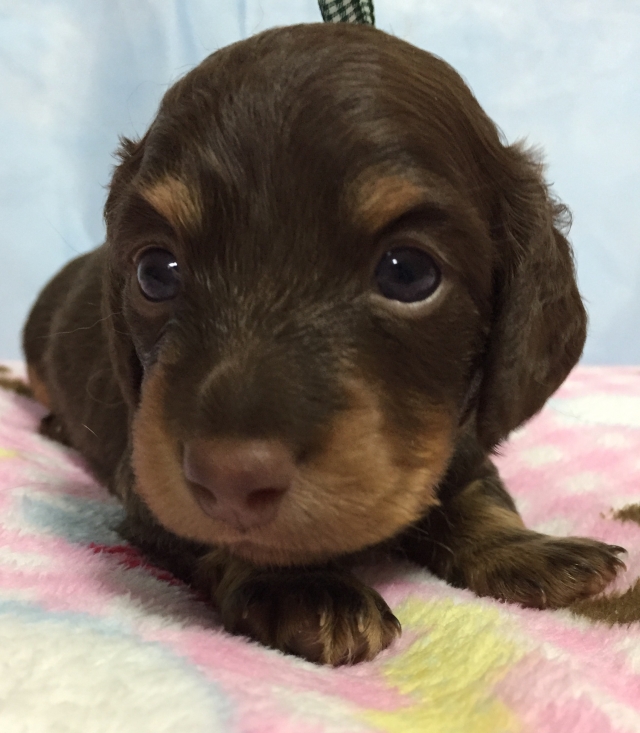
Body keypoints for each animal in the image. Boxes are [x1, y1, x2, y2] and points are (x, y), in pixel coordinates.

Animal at [23, 23, 625, 665]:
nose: (229, 481)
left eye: (409, 273)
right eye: (156, 271)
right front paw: (302, 584)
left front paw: (530, 547)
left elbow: (476, 492)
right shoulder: (146, 484)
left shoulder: (458, 443)